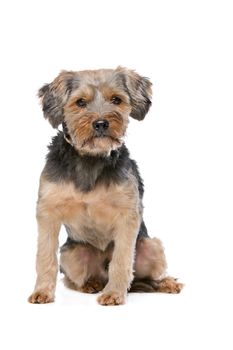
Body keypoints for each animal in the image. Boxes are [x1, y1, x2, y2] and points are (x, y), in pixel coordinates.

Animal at [28, 67, 183, 304]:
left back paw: (166, 283)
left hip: (151, 246)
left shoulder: (128, 215)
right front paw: (42, 292)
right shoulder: (47, 211)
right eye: (80, 102)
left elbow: (121, 260)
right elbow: (45, 257)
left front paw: (114, 294)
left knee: (145, 276)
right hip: (71, 254)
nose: (101, 123)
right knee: (74, 279)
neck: (90, 158)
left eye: (116, 100)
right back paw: (91, 284)